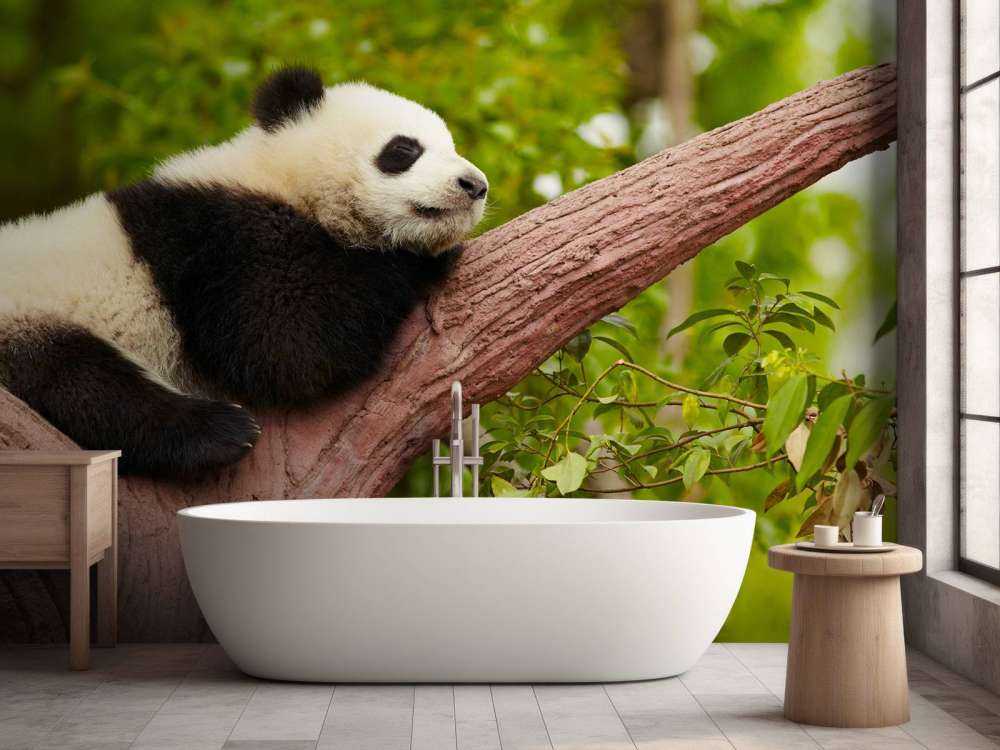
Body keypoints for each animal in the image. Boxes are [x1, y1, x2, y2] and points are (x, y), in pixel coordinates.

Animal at [0, 66, 488, 479]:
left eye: (453, 147)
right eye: (404, 150)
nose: (475, 186)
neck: (279, 175)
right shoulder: (222, 240)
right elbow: (287, 343)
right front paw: (419, 258)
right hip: (32, 319)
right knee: (79, 381)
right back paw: (218, 432)